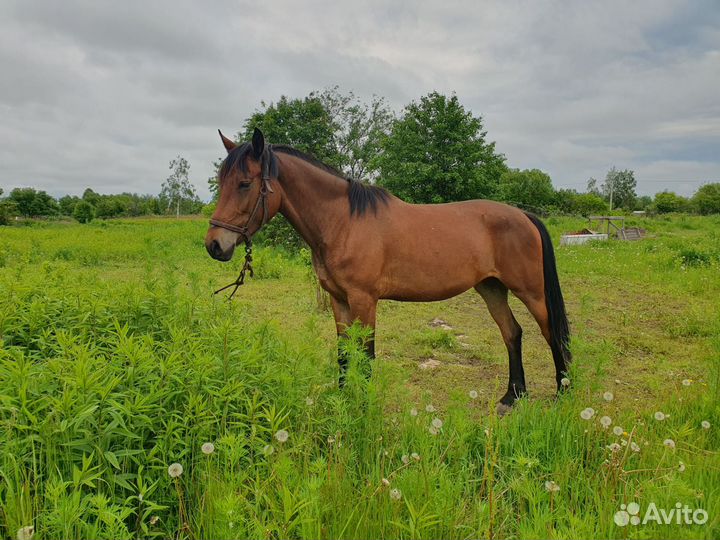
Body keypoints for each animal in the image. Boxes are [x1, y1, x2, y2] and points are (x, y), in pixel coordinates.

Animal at [205, 127, 572, 414]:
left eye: (244, 183)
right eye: (222, 182)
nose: (215, 245)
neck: (344, 221)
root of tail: (523, 215)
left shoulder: (364, 300)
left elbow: (366, 358)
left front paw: (365, 412)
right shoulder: (339, 300)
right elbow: (344, 354)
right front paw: (343, 402)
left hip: (531, 292)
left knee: (551, 333)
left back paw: (562, 394)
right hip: (492, 288)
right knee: (512, 333)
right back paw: (512, 397)